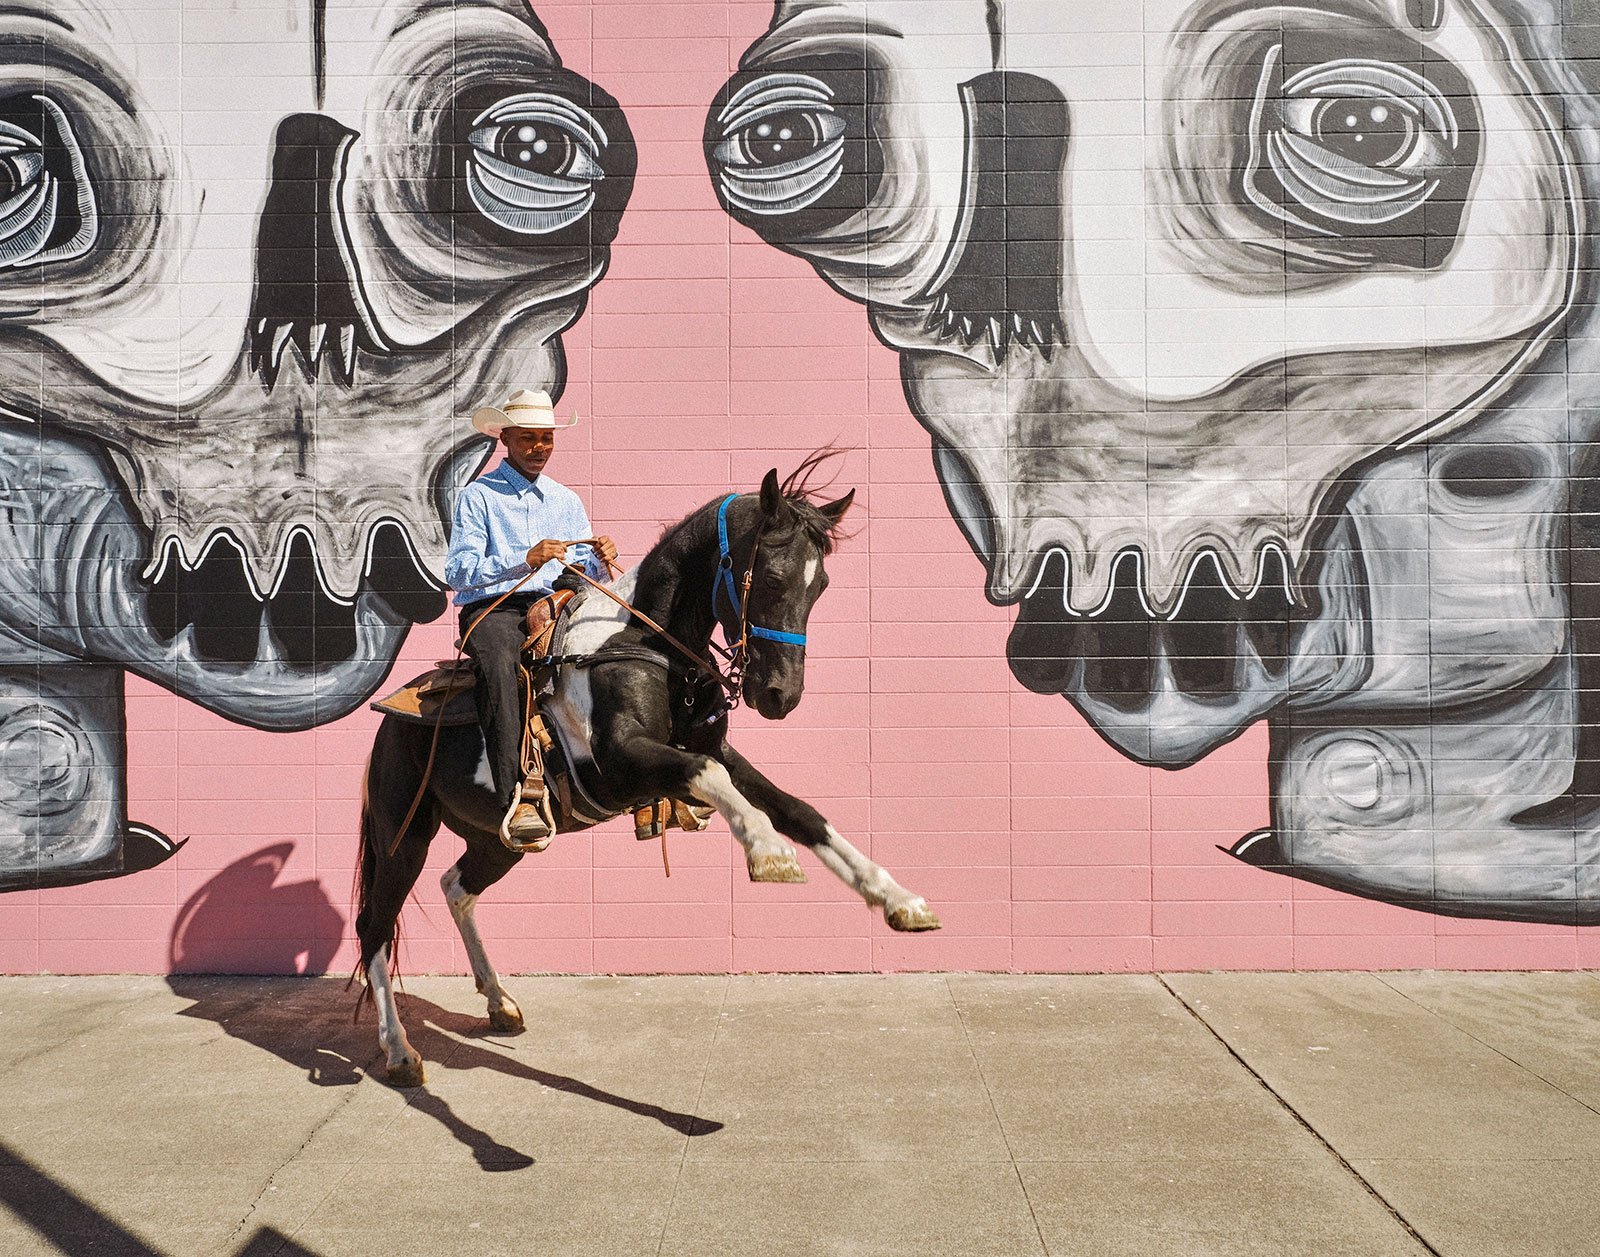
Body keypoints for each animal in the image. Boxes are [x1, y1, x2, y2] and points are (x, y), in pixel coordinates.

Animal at [356, 463, 940, 1081]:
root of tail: (391, 718)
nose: (781, 696)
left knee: (457, 888)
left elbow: (797, 811)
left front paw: (899, 900)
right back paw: (399, 1050)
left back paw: (499, 1002)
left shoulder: (714, 752)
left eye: (820, 585)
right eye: (771, 578)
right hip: (402, 838)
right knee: (374, 924)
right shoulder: (621, 765)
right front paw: (767, 851)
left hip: (500, 840)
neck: (642, 643)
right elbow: (709, 776)